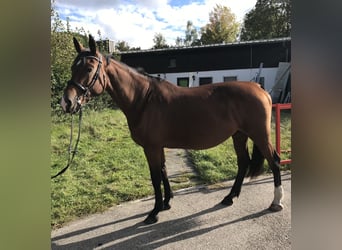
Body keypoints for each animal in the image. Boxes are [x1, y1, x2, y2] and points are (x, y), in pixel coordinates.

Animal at [60, 35, 284, 225]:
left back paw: (276, 202)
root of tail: (259, 88)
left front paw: (154, 212)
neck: (144, 99)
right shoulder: (158, 146)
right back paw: (229, 197)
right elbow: (164, 171)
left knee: (274, 161)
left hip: (259, 135)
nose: (67, 102)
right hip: (239, 135)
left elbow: (155, 176)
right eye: (72, 67)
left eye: (89, 69)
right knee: (243, 163)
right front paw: (167, 202)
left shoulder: (151, 147)